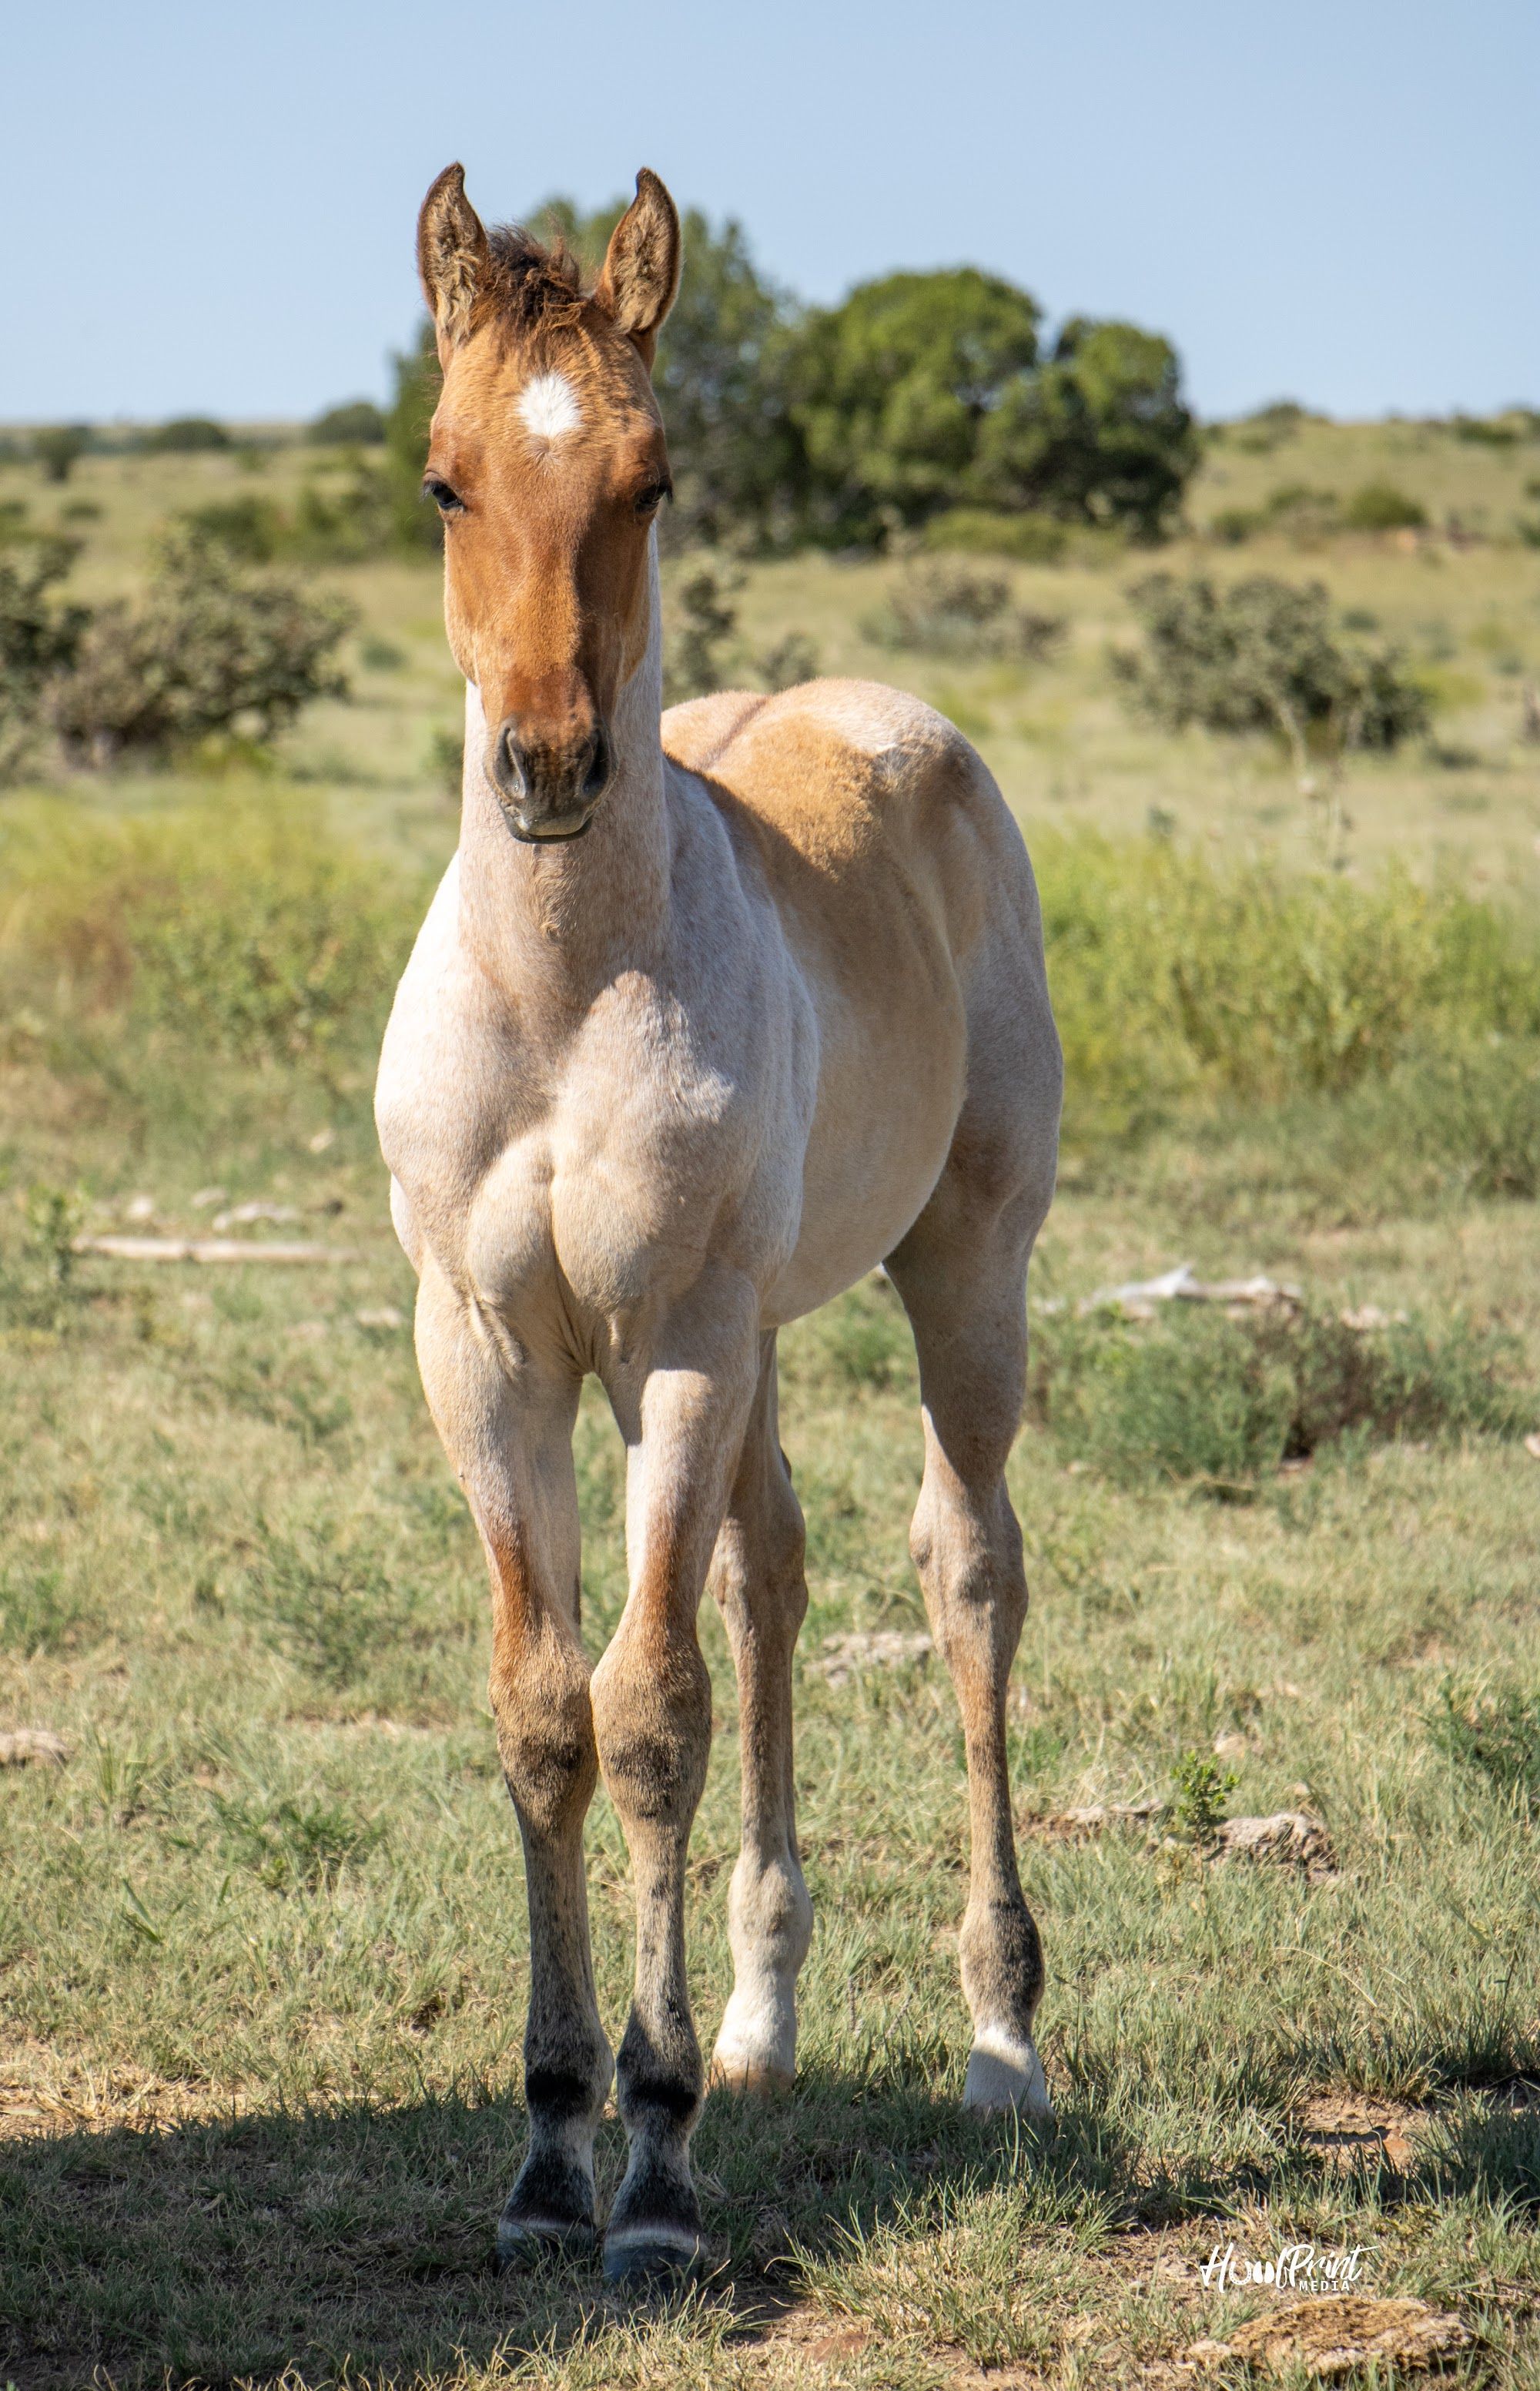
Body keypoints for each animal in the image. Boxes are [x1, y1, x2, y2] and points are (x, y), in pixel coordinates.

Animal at [375, 163, 1062, 2286]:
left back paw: (1001, 2031)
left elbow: (651, 1712)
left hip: (962, 1276)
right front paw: (544, 2147)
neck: (559, 995)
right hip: (758, 1335)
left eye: (652, 478)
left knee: (965, 1573)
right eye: (443, 480)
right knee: (772, 1573)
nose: (547, 766)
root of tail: (895, 721)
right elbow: (545, 1712)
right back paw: (764, 2017)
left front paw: (658, 2172)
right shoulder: (488, 1349)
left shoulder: (673, 1337)